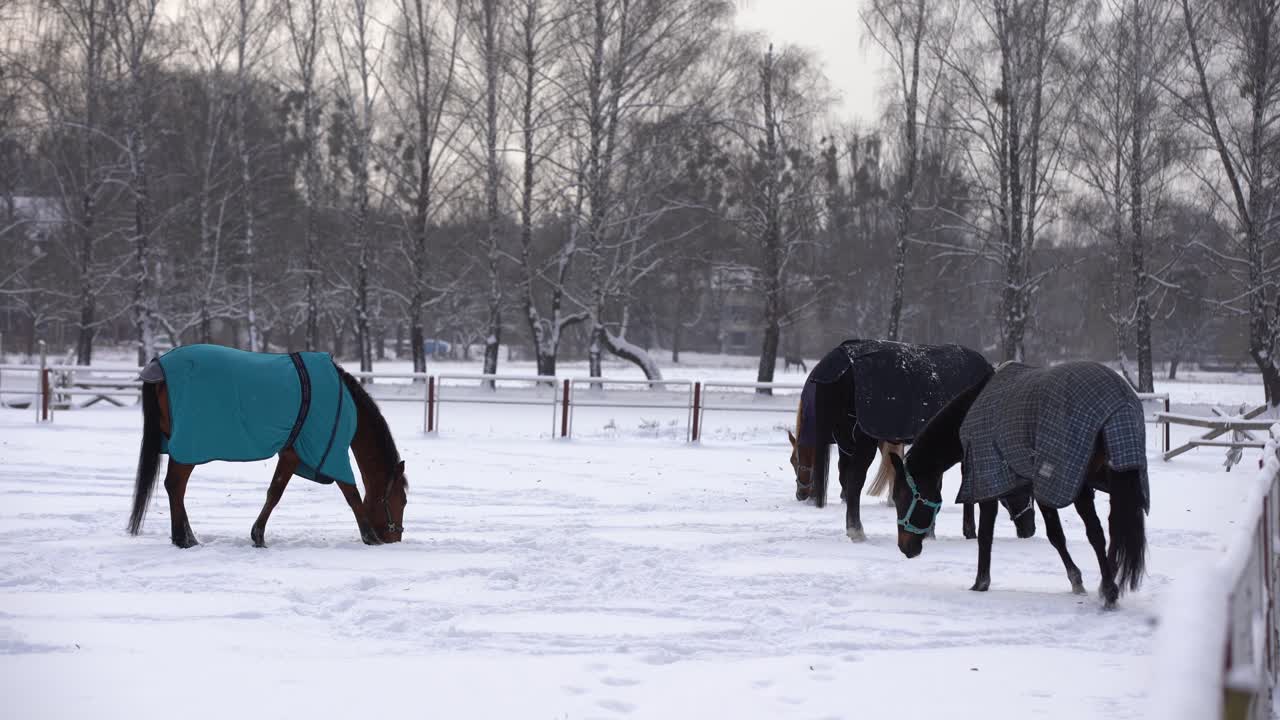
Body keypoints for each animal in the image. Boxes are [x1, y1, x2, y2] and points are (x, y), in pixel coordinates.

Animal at [128, 344, 408, 548]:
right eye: (402, 500)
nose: (395, 538)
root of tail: (158, 366)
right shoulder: (327, 452)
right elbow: (350, 494)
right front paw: (370, 537)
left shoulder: (292, 454)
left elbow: (275, 492)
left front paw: (258, 535)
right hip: (189, 447)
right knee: (176, 486)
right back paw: (184, 540)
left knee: (174, 488)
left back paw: (185, 537)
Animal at [787, 339, 1036, 543]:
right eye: (1027, 488)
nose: (1030, 530)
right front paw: (962, 532)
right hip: (862, 441)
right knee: (855, 480)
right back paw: (857, 531)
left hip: (845, 441)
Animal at [889, 361, 1149, 609]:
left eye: (902, 498)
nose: (904, 547)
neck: (969, 413)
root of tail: (1118, 404)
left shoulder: (997, 482)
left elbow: (995, 535)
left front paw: (980, 584)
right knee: (1109, 529)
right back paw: (1109, 583)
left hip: (1081, 484)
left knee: (1096, 532)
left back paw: (1109, 590)